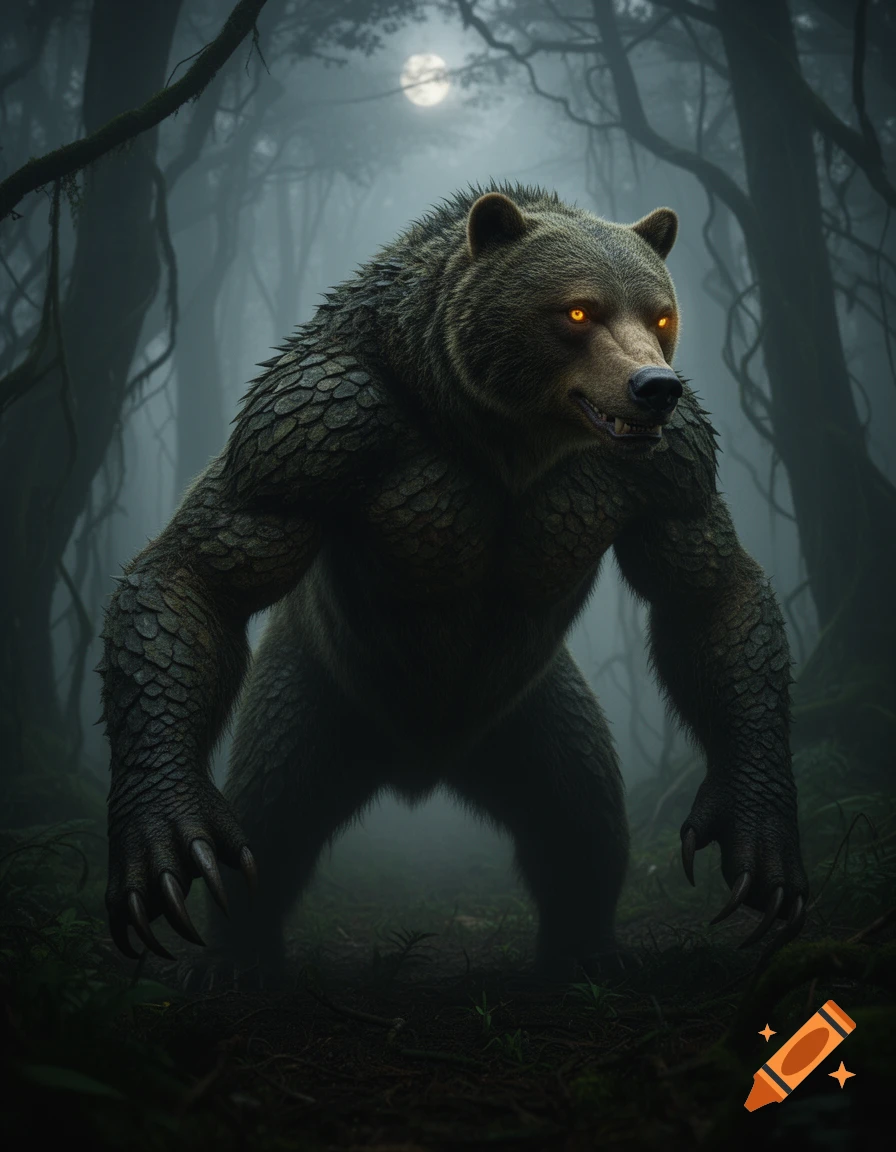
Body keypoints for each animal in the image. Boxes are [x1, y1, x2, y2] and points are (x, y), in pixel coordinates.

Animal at [99, 183, 808, 984]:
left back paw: (586, 948)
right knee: (272, 819)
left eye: (659, 315)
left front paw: (758, 832)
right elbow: (200, 568)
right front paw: (163, 833)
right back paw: (238, 956)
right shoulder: (311, 429)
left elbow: (708, 593)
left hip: (528, 715)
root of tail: (424, 766)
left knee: (580, 815)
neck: (499, 429)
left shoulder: (673, 470)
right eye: (577, 311)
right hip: (316, 695)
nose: (654, 385)